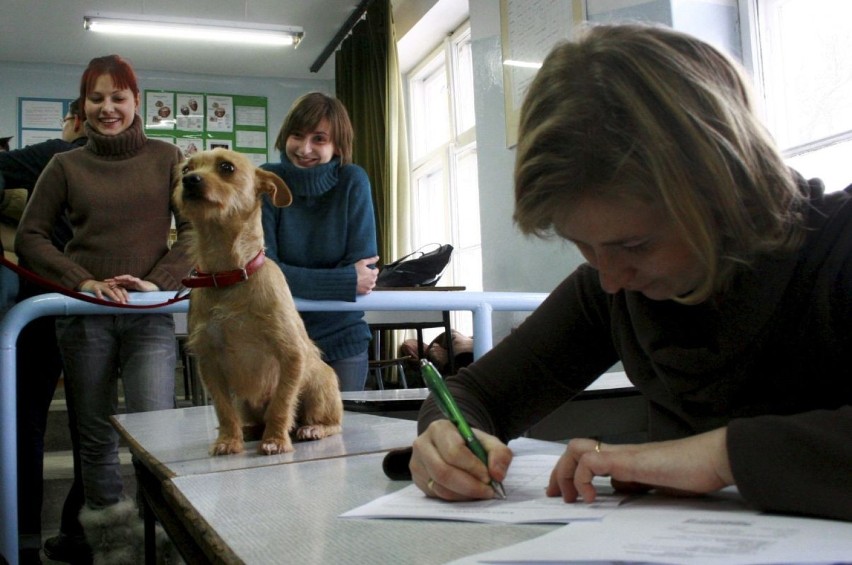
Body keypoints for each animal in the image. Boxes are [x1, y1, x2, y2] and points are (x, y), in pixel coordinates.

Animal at [173, 149, 342, 454]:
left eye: (227, 167)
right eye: (185, 170)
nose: (190, 181)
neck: (228, 276)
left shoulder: (291, 355)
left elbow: (281, 404)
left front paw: (275, 439)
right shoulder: (209, 363)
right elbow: (223, 410)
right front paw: (228, 440)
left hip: (319, 384)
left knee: (330, 421)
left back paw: (312, 428)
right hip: (245, 402)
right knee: (247, 417)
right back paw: (249, 430)